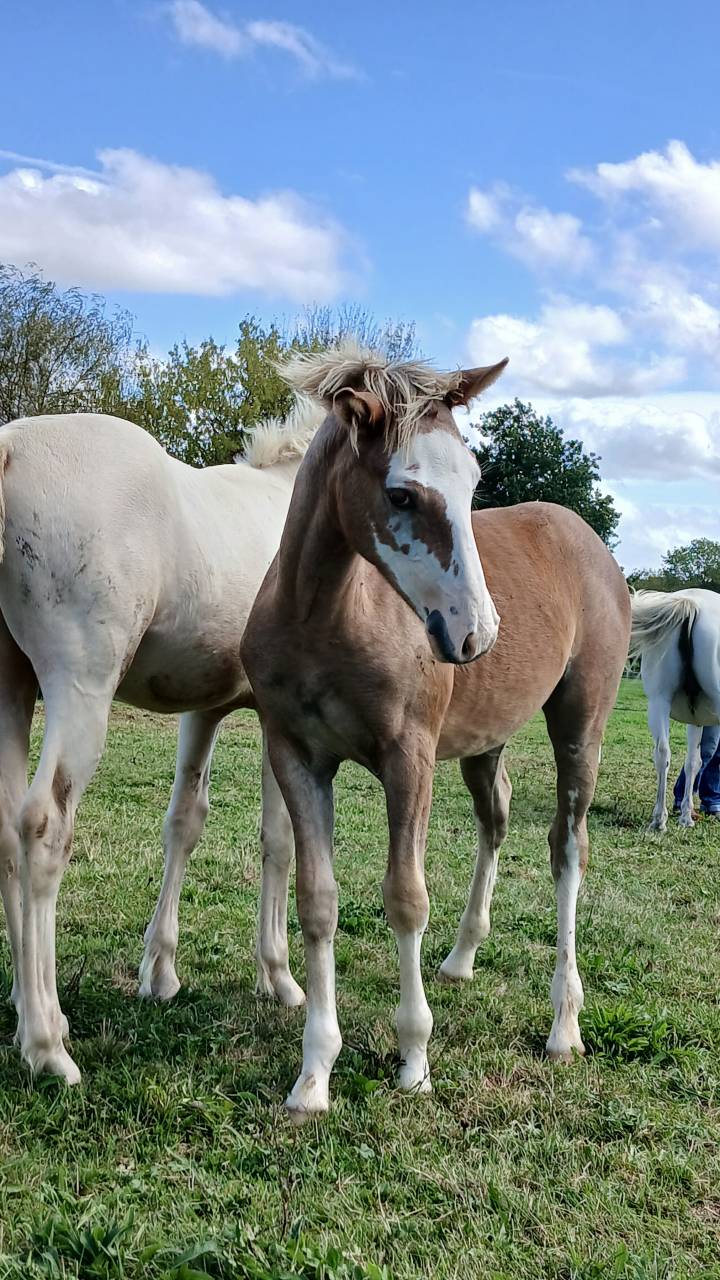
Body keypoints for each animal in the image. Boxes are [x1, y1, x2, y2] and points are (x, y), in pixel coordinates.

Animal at [0, 399, 323, 1083]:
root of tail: (11, 447)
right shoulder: (279, 718)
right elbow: (281, 839)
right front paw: (279, 976)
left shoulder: (203, 709)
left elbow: (185, 821)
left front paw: (161, 971)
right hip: (80, 688)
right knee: (42, 827)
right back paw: (46, 1044)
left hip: (9, 688)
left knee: (7, 831)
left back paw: (26, 1006)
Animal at [241, 343, 631, 1118]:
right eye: (401, 495)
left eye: (474, 481)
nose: (476, 633)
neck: (324, 618)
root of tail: (590, 541)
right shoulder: (296, 756)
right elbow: (317, 902)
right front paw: (313, 1075)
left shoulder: (408, 758)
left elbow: (406, 897)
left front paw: (414, 1059)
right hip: (486, 742)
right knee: (496, 817)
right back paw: (461, 958)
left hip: (581, 724)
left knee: (567, 847)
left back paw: (564, 1026)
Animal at [630, 588, 720, 831]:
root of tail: (692, 604)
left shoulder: (695, 720)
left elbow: (693, 763)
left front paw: (686, 816)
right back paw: (659, 819)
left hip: (659, 702)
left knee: (663, 754)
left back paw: (664, 818)